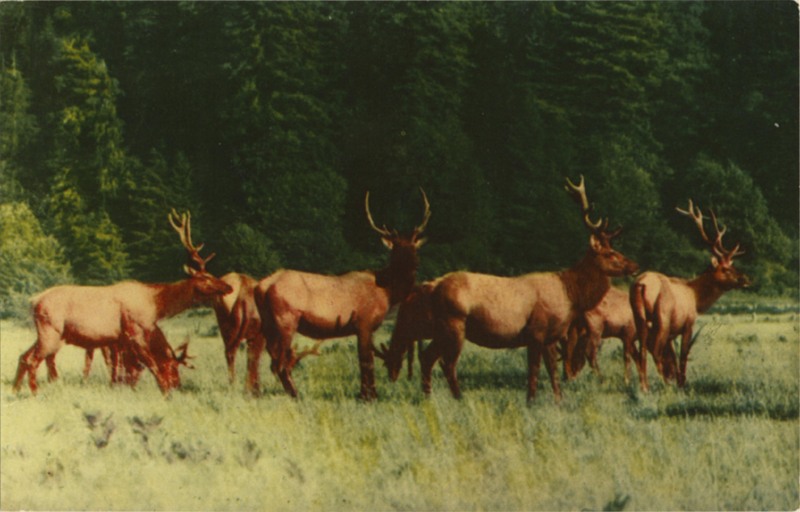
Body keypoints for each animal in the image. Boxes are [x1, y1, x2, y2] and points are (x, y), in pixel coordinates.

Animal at [13, 210, 233, 395]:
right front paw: (165, 394)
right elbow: (151, 365)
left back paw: (15, 390)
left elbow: (123, 368)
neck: (155, 306)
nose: (228, 287)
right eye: (205, 278)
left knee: (24, 356)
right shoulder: (134, 331)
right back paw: (34, 393)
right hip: (51, 331)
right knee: (33, 360)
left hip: (48, 333)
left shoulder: (120, 340)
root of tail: (33, 301)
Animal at [255, 189, 430, 401]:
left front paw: (367, 393)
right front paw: (369, 395)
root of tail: (262, 286)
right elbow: (366, 361)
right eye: (396, 248)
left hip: (268, 323)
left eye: (414, 245)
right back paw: (296, 394)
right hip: (286, 319)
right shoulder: (364, 322)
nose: (414, 264)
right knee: (280, 361)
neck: (388, 293)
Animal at [417, 176, 638, 402]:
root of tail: (431, 286)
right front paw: (530, 400)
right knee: (447, 363)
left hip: (441, 328)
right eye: (610, 253)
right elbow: (534, 370)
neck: (570, 295)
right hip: (454, 325)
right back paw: (458, 398)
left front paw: (558, 400)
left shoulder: (551, 336)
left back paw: (427, 397)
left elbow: (552, 371)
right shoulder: (536, 331)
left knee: (426, 357)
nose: (635, 266)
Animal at [630, 200, 750, 392]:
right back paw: (664, 385)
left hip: (639, 316)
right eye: (725, 268)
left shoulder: (672, 333)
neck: (697, 298)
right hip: (662, 316)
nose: (745, 279)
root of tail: (641, 285)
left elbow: (672, 356)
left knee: (642, 349)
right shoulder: (688, 324)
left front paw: (678, 380)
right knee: (655, 349)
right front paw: (682, 384)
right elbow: (683, 355)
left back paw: (645, 387)